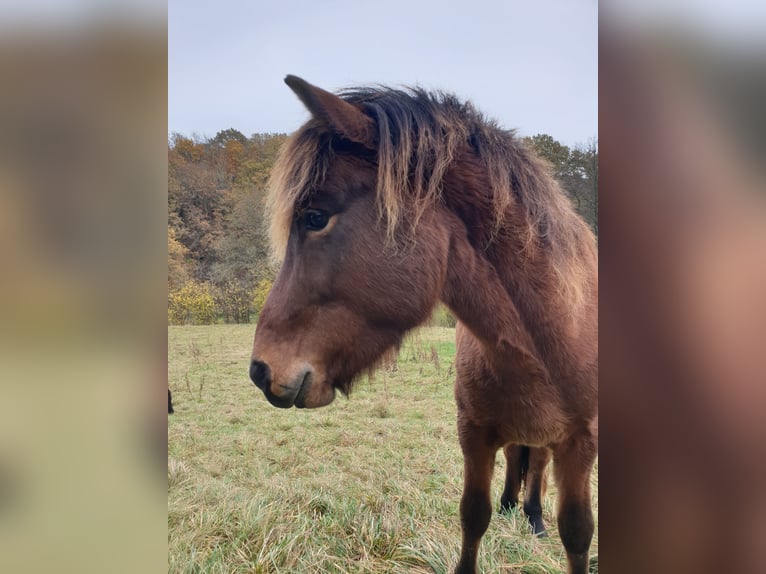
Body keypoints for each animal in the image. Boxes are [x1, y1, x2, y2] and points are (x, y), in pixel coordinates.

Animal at [252, 76, 600, 574]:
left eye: (316, 217)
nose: (260, 369)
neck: (548, 337)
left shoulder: (580, 444)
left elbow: (576, 533)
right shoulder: (474, 434)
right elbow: (474, 516)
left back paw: (532, 517)